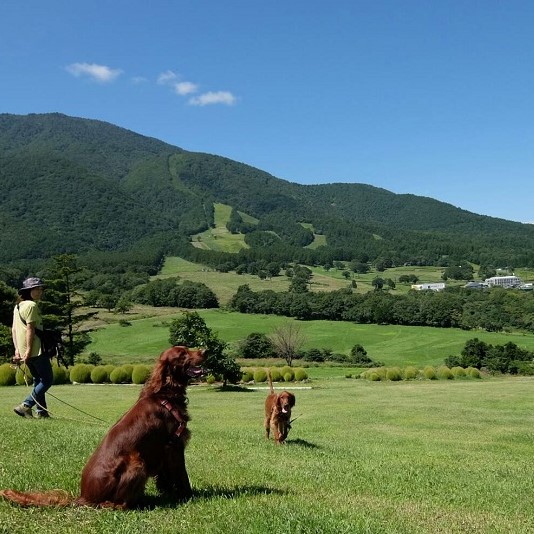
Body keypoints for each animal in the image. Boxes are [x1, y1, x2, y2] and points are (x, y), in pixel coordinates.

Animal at [0, 348, 205, 510]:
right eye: (182, 354)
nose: (204, 351)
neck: (164, 394)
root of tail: (83, 496)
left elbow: (166, 479)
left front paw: (170, 493)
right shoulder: (174, 445)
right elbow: (182, 476)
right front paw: (189, 496)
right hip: (136, 462)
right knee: (113, 504)